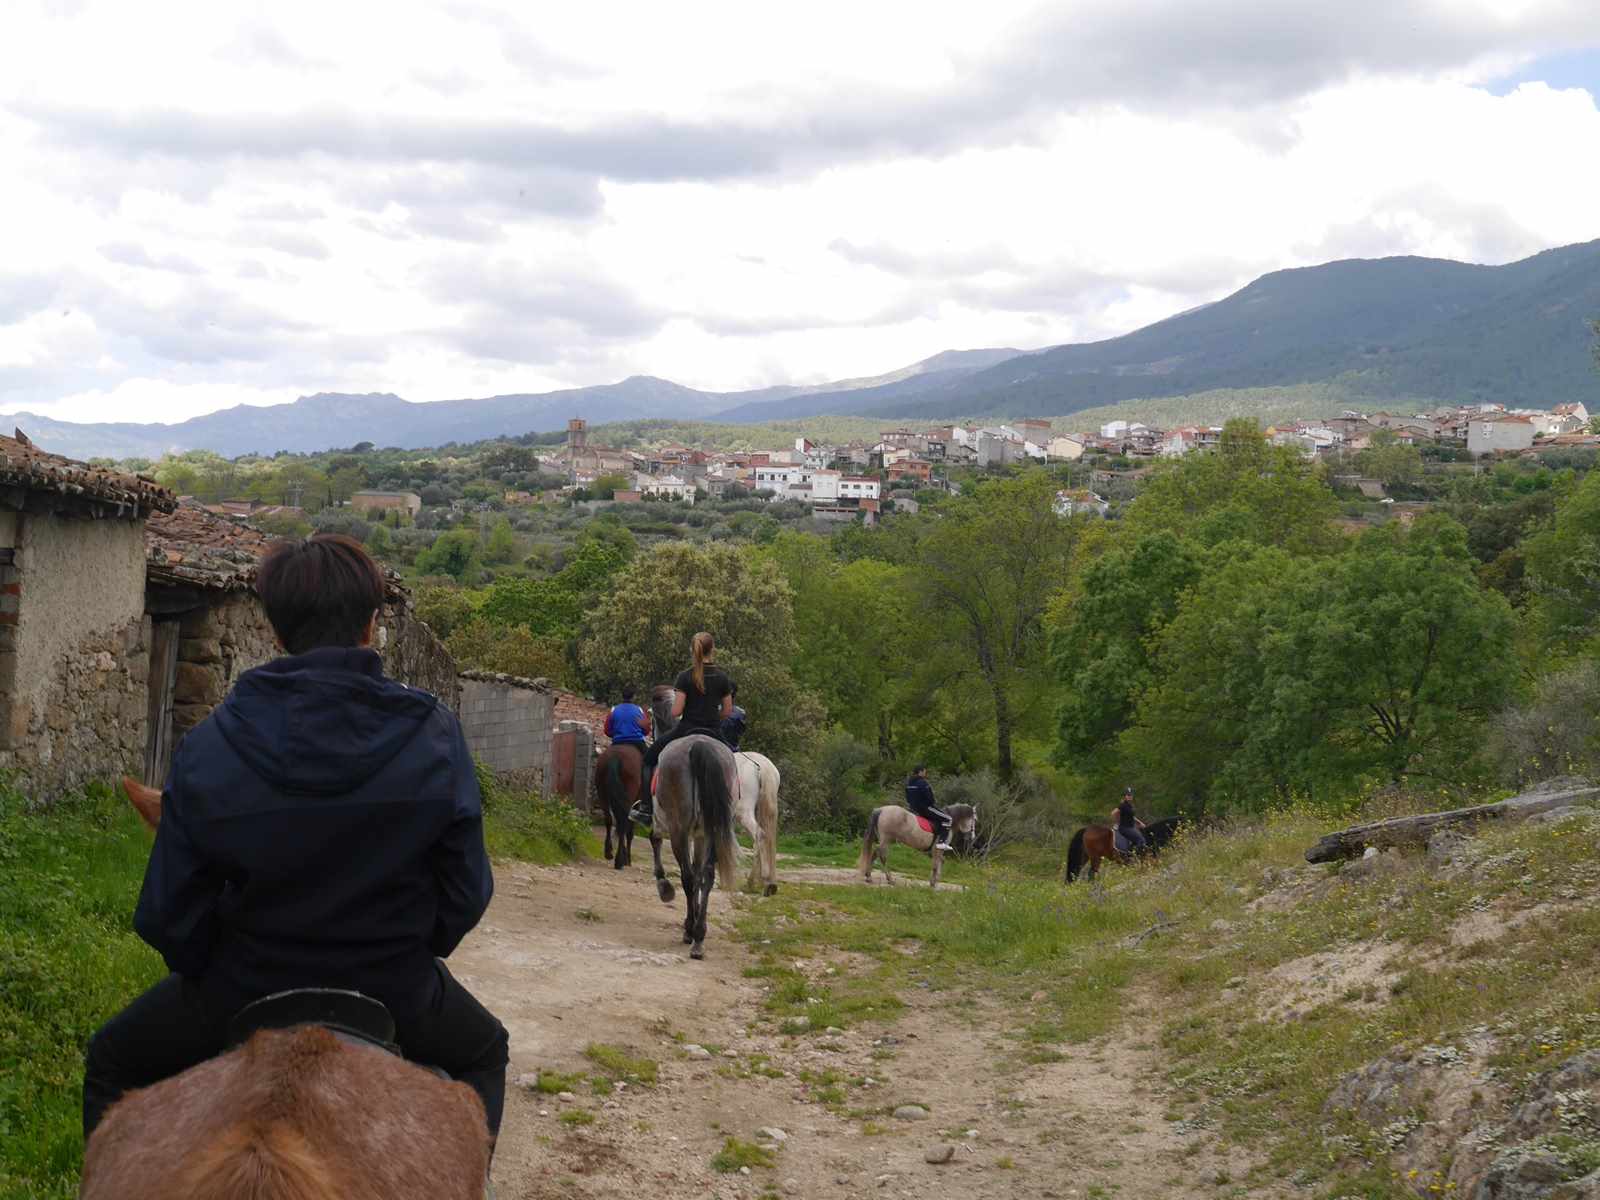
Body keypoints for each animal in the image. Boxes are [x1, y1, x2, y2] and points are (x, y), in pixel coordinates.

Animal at [595, 739, 643, 870]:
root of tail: (615, 756)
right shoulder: (636, 803)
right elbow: (629, 830)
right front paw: (628, 859)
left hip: (602, 793)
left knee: (609, 820)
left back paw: (609, 853)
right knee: (623, 823)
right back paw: (620, 861)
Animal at [1062, 819, 1190, 883]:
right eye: (1182, 827)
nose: (1187, 840)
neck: (1150, 835)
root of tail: (1087, 829)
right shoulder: (1148, 861)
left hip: (1085, 856)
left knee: (1076, 872)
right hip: (1095, 857)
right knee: (1091, 873)